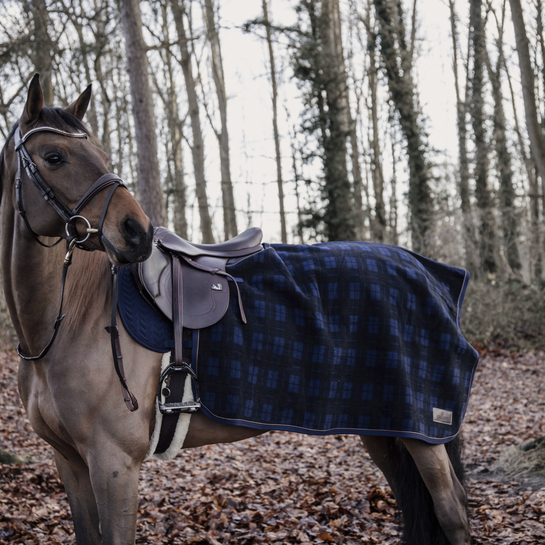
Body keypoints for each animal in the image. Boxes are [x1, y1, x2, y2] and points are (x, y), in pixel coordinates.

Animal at [0, 75, 470, 544]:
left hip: (425, 434)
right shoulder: (70, 462)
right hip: (383, 428)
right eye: (55, 157)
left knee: (452, 512)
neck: (67, 323)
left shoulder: (114, 464)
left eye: (101, 155)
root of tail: (431, 273)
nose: (137, 232)